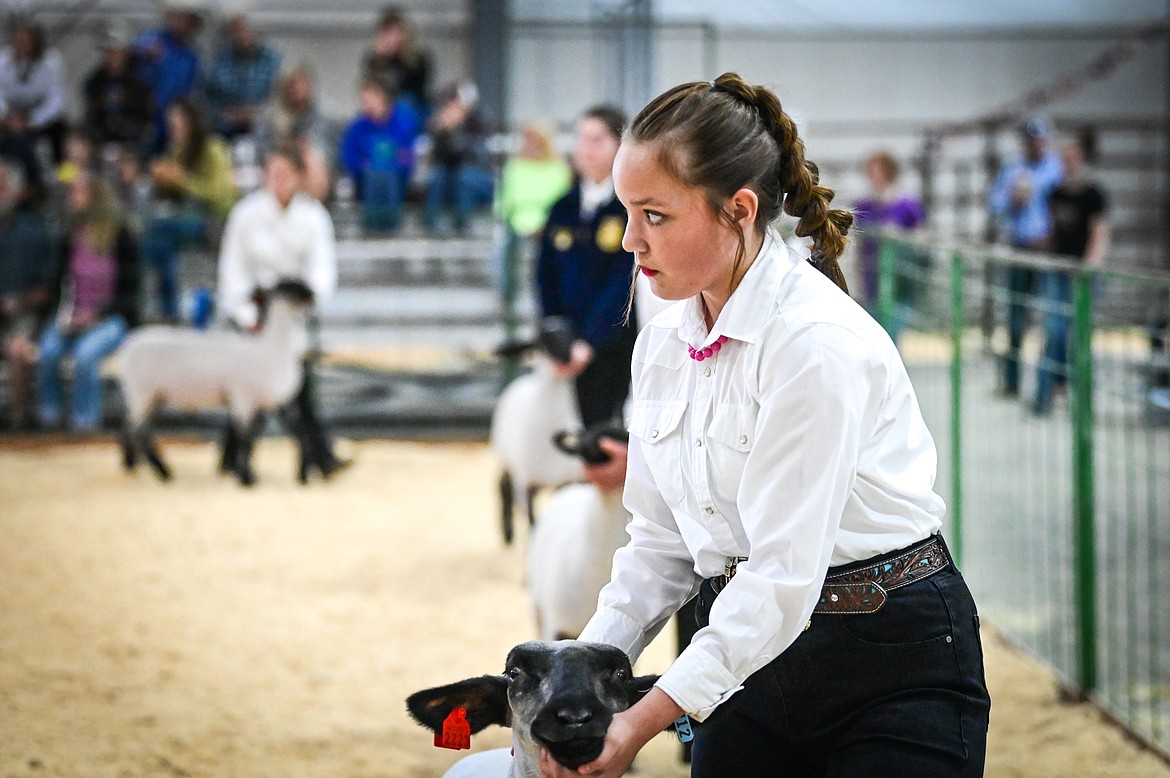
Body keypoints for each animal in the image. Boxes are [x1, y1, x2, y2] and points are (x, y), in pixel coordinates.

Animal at [112, 279, 315, 486]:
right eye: (289, 287)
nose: (311, 294)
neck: (273, 350)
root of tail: (127, 345)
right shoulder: (243, 398)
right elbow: (245, 438)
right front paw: (246, 478)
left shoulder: (276, 402)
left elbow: (297, 433)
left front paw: (302, 475)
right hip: (141, 391)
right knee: (138, 430)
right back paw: (162, 472)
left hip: (151, 396)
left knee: (128, 425)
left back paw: (131, 464)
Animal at [489, 313, 585, 540]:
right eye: (542, 340)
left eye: (570, 333)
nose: (567, 355)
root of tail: (524, 379)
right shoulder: (526, 485)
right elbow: (533, 525)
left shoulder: (569, 480)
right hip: (506, 457)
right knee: (502, 483)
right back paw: (507, 533)